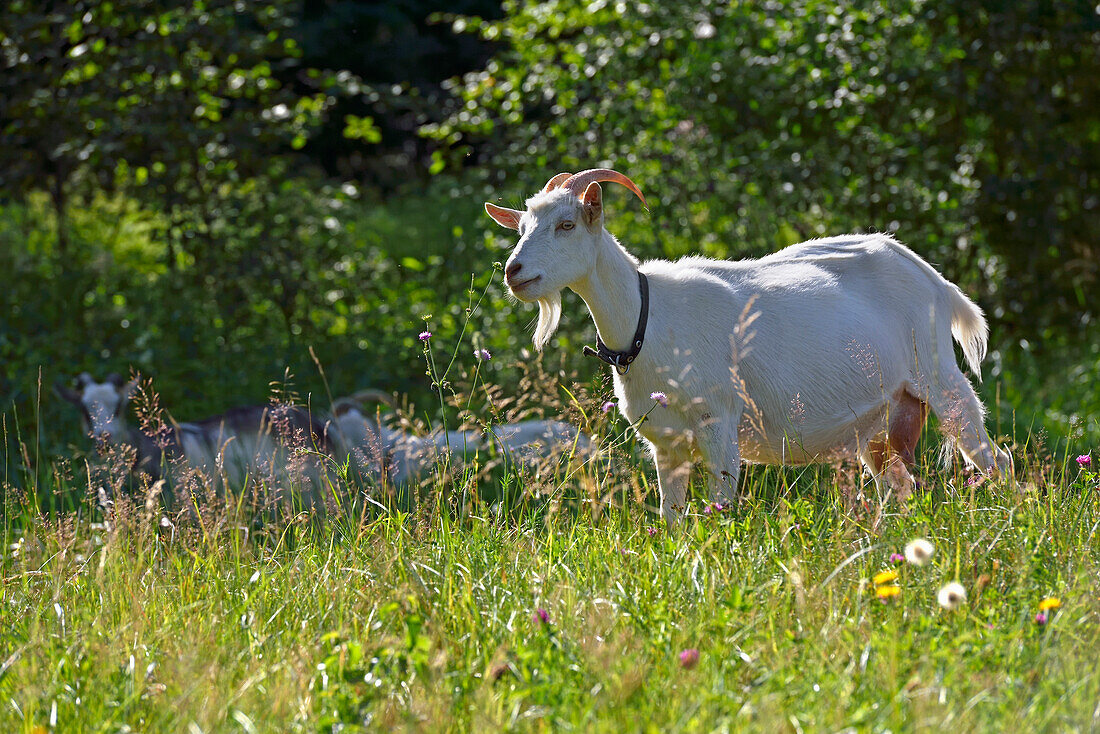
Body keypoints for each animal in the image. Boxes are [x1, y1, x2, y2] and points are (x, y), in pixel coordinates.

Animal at [486, 168, 1016, 521]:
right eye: (520, 228)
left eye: (567, 225)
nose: (514, 271)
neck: (647, 320)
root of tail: (934, 280)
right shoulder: (666, 444)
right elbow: (671, 521)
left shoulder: (719, 422)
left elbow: (721, 509)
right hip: (880, 421)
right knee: (898, 486)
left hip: (939, 376)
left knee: (995, 459)